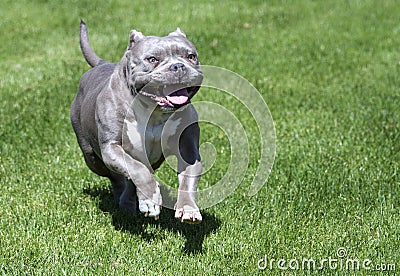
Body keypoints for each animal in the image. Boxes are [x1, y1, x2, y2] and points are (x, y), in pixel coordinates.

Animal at [70, 21, 203, 224]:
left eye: (191, 56)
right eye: (152, 59)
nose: (178, 66)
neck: (154, 112)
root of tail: (103, 64)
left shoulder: (188, 151)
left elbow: (187, 178)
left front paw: (188, 208)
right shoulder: (111, 148)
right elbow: (138, 170)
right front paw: (151, 198)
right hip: (92, 158)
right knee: (117, 177)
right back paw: (124, 199)